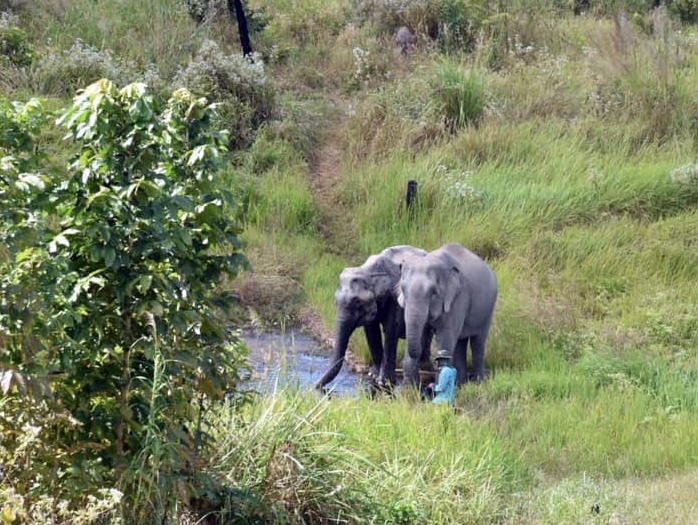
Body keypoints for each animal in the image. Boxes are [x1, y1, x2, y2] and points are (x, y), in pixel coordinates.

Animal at [314, 245, 432, 388]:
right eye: (335, 301)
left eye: (357, 303)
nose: (315, 387)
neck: (369, 272)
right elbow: (371, 331)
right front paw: (373, 376)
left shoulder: (395, 297)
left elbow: (391, 330)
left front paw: (384, 382)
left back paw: (423, 365)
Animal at [396, 242, 494, 384]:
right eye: (403, 289)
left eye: (433, 292)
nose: (425, 365)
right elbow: (422, 332)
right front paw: (409, 388)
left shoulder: (459, 297)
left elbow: (446, 335)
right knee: (460, 342)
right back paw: (460, 383)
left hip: (488, 310)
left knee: (478, 342)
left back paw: (478, 381)